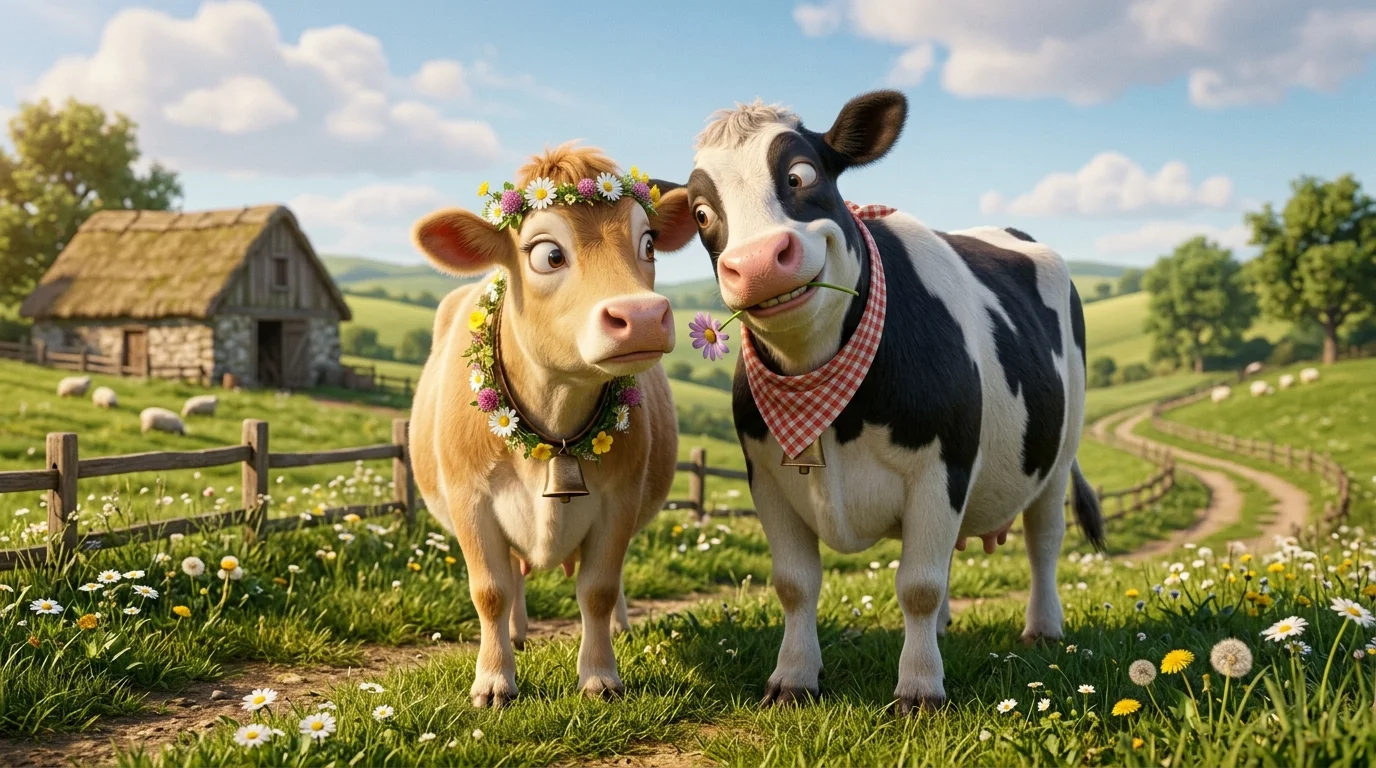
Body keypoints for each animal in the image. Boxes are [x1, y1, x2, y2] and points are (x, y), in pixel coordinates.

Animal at [408, 144, 696, 708]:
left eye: (648, 242)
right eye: (548, 255)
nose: (642, 316)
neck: (556, 423)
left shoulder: (619, 499)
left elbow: (598, 589)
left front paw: (600, 677)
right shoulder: (469, 498)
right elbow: (491, 590)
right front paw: (494, 680)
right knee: (514, 579)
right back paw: (517, 634)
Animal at [657, 91, 1104, 712]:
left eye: (801, 175)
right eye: (702, 213)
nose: (759, 263)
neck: (825, 403)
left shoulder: (942, 465)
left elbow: (917, 585)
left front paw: (920, 688)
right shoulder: (766, 476)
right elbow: (795, 584)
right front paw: (793, 677)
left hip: (1057, 454)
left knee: (1044, 540)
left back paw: (1042, 629)